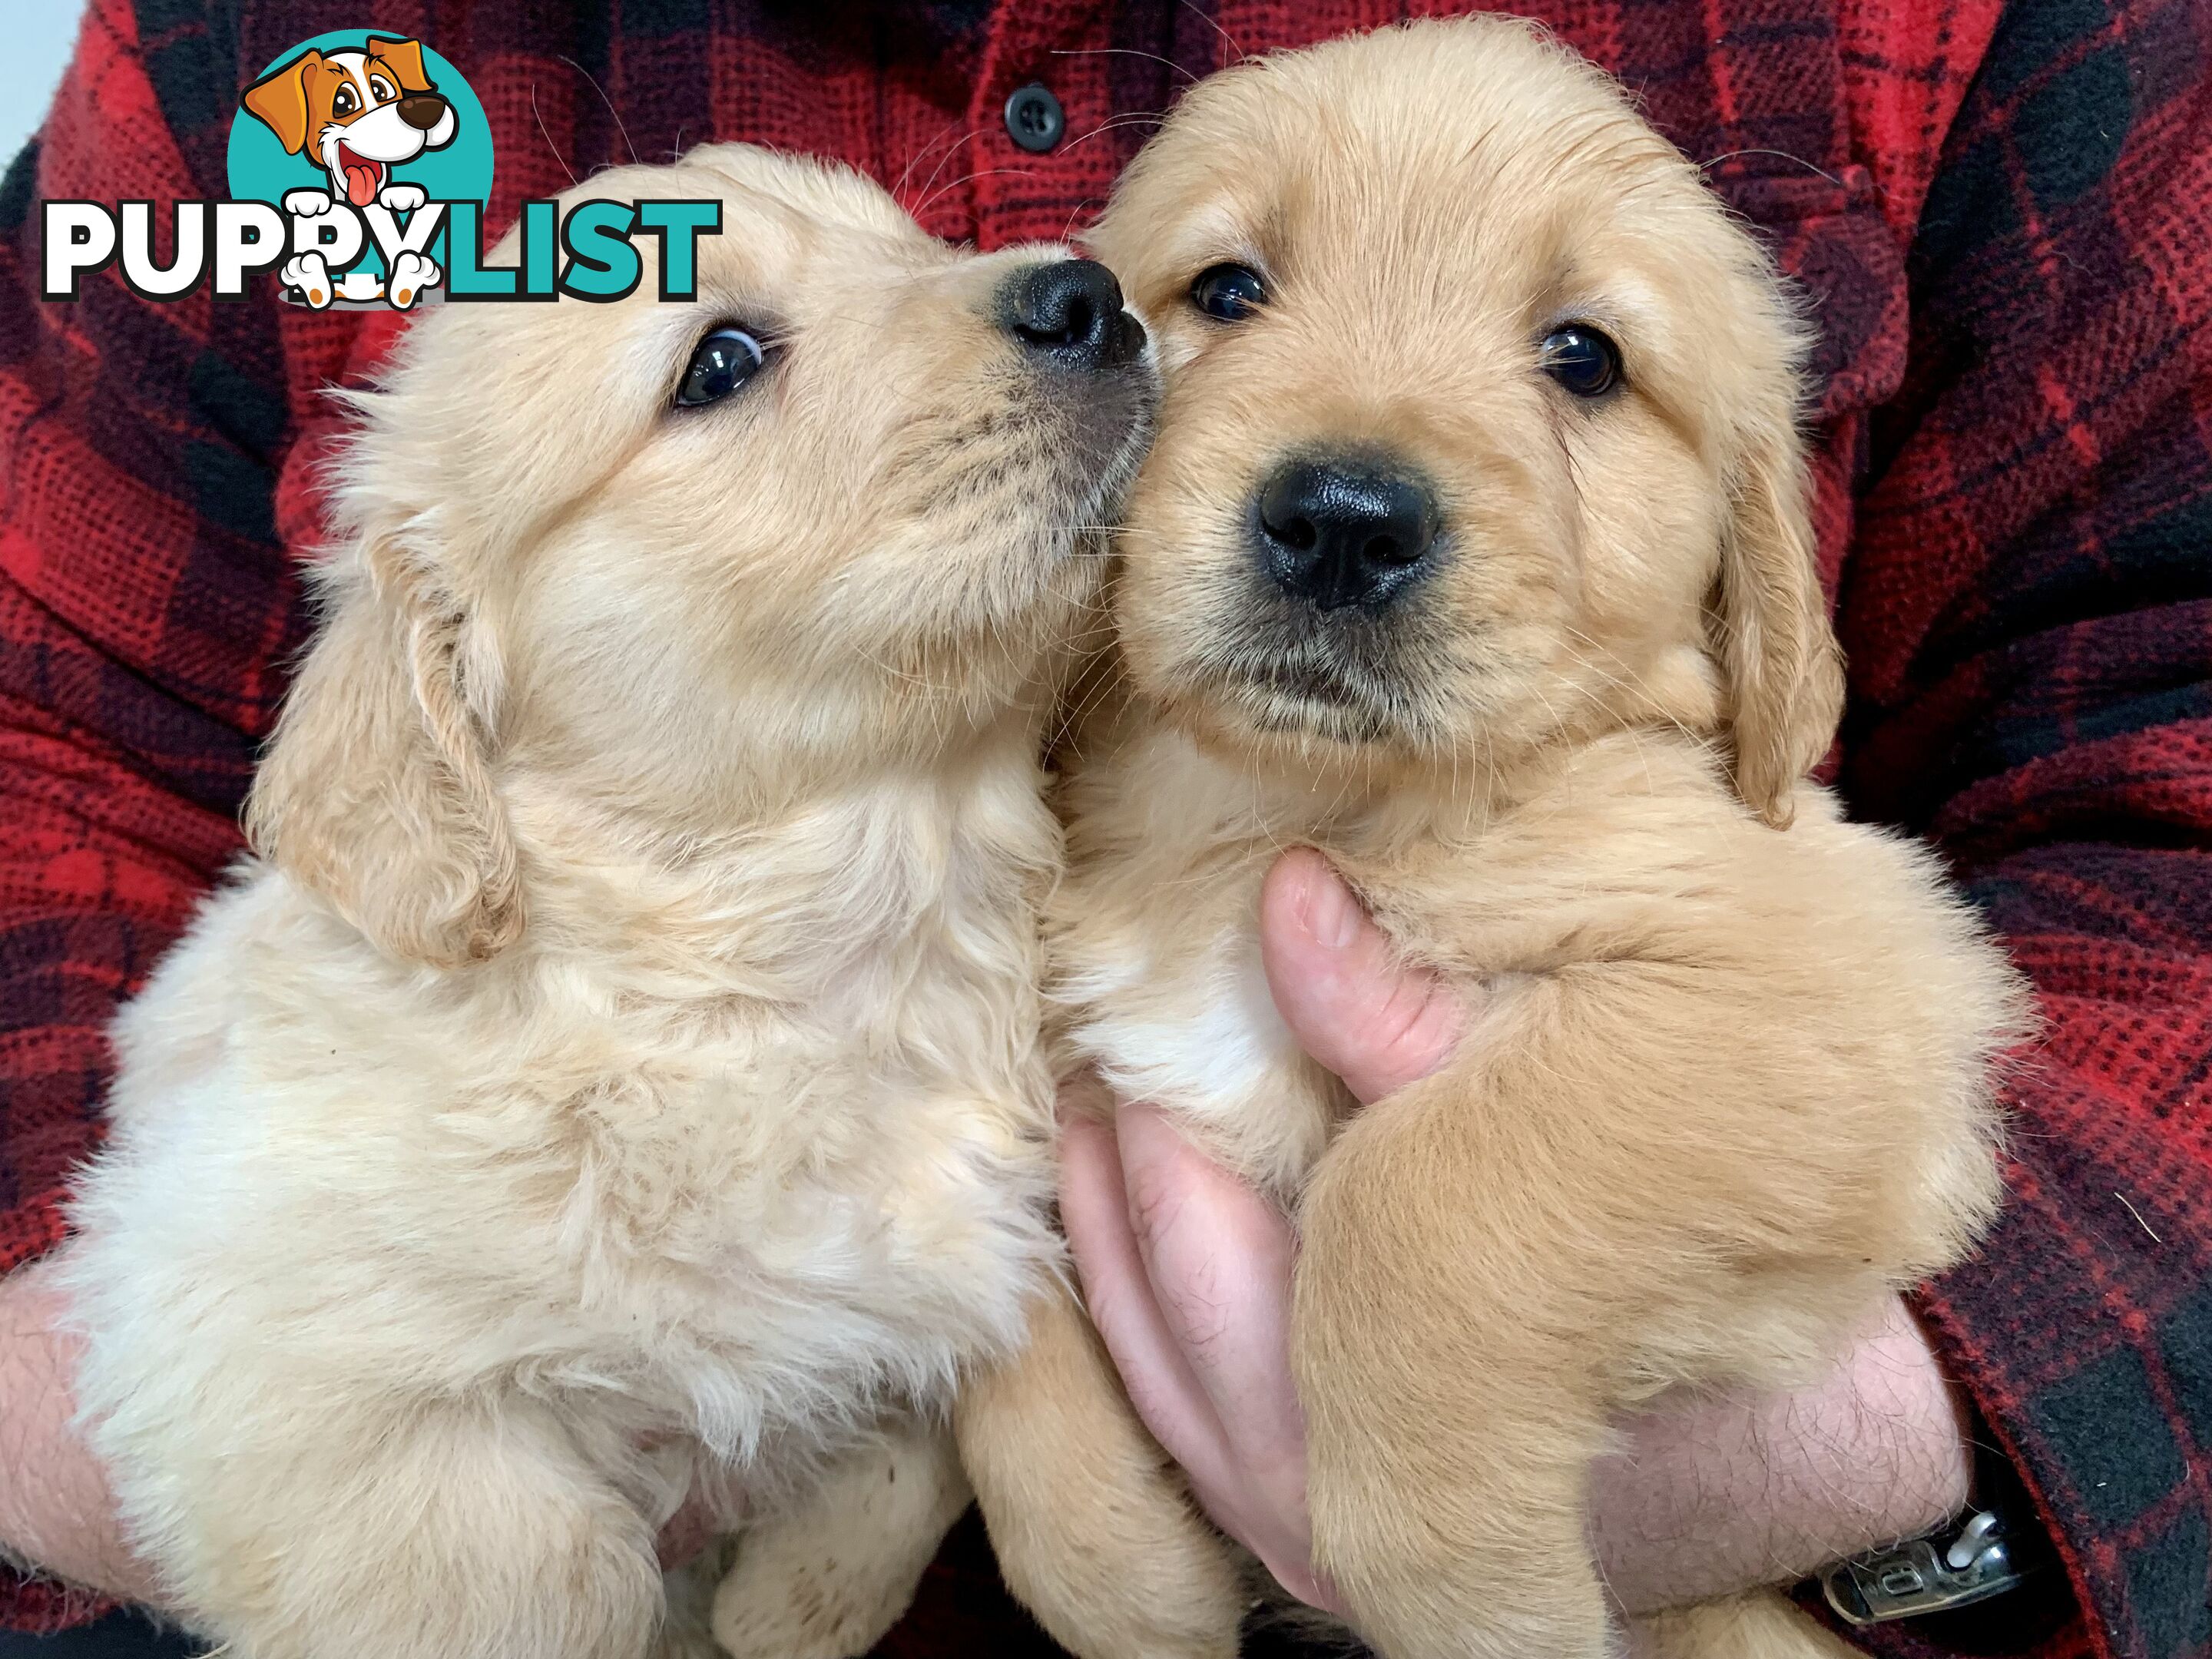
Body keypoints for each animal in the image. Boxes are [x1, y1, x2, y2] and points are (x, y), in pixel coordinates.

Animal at [56, 142, 1159, 1659]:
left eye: (910, 242)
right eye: (720, 362)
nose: (1092, 297)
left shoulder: (956, 1241)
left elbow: (902, 1447)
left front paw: (793, 1603)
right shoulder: (228, 1338)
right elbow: (533, 1581)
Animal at [951, 19, 2026, 1659]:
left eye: (1585, 357)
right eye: (1228, 290)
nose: (1341, 520)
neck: (1266, 812)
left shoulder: (1849, 991)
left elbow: (1422, 1191)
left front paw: (1464, 1579)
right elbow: (988, 1304)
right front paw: (1123, 1575)